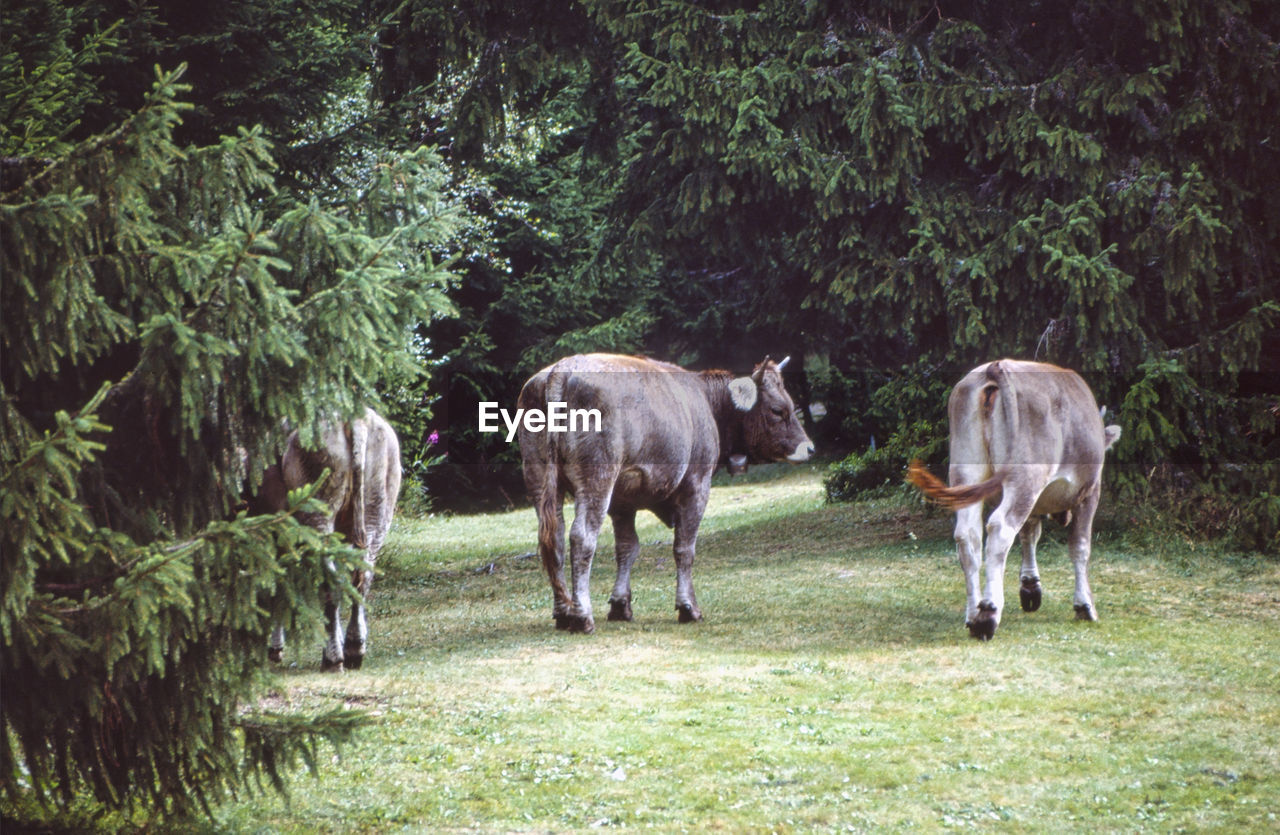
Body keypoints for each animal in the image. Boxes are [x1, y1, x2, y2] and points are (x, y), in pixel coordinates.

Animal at [253, 407, 401, 671]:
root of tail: (356, 418)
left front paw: (275, 648)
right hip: (378, 508)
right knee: (361, 579)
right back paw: (353, 648)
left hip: (318, 506)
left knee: (331, 585)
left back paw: (333, 658)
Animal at [517, 353, 808, 632]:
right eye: (778, 410)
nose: (809, 447)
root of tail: (562, 369)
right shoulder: (696, 486)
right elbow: (684, 548)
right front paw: (688, 607)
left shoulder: (623, 502)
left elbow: (627, 547)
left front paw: (620, 605)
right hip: (596, 479)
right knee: (582, 538)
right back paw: (582, 616)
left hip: (540, 479)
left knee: (554, 541)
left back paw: (563, 612)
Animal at [901, 358, 1121, 640]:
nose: (1062, 517)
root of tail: (997, 365)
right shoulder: (1089, 491)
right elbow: (1080, 546)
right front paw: (1084, 606)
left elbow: (1030, 534)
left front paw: (1030, 587)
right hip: (1026, 477)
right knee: (1000, 529)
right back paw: (988, 615)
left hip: (966, 471)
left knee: (968, 535)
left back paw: (973, 614)